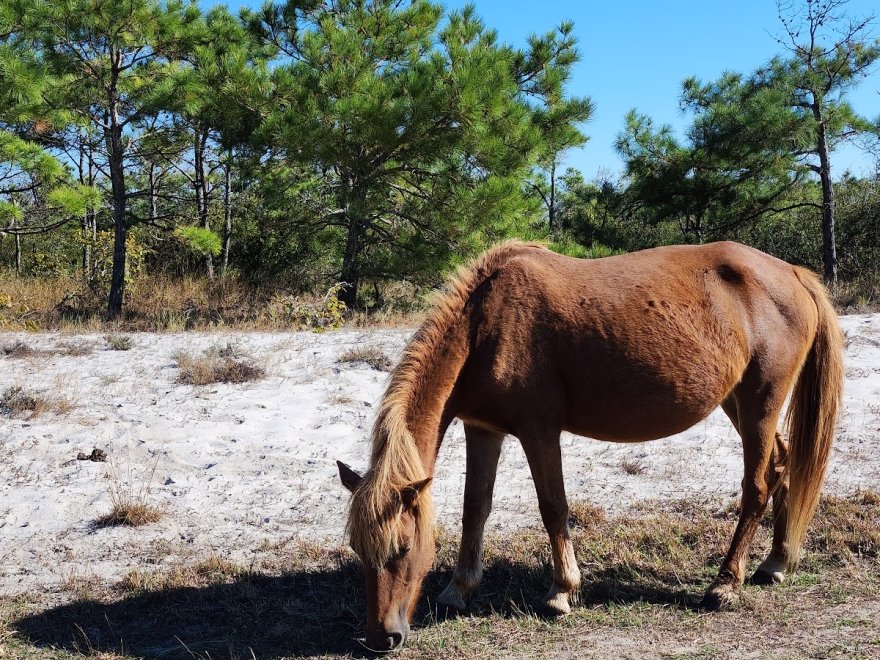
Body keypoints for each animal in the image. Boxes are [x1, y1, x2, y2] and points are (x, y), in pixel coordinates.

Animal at [334, 241, 844, 648]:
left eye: (402, 548)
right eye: (358, 549)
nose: (381, 637)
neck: (487, 322)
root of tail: (792, 274)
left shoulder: (539, 431)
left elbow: (553, 506)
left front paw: (562, 592)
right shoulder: (483, 429)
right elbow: (475, 506)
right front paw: (460, 588)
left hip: (760, 402)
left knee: (756, 486)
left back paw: (725, 585)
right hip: (736, 403)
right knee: (781, 466)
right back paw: (775, 562)